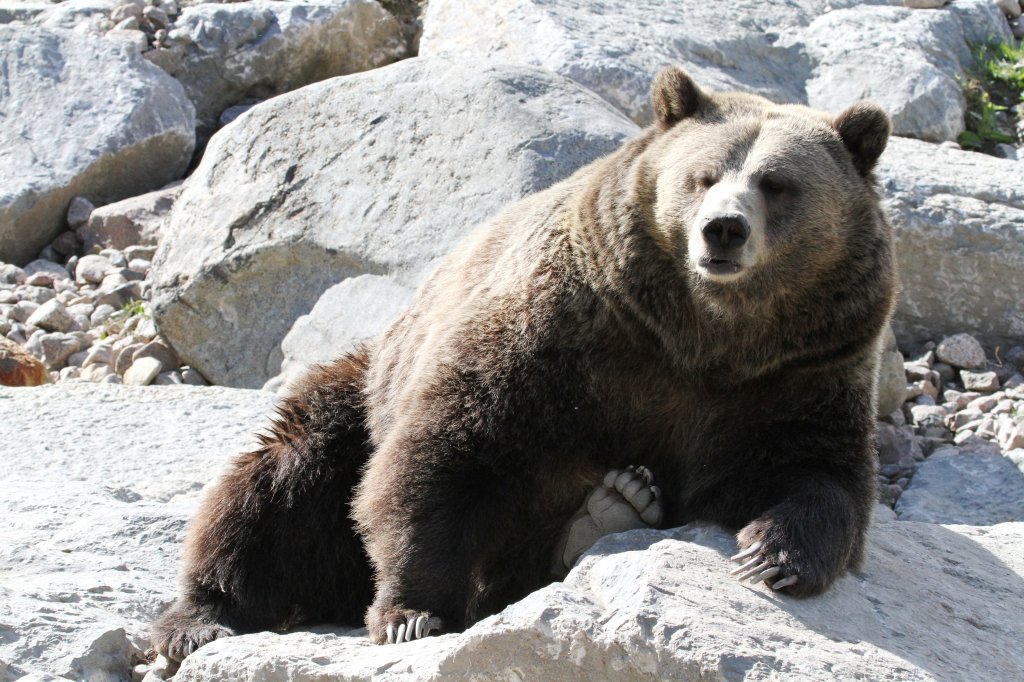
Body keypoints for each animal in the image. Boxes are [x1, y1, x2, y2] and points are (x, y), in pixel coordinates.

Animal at [151, 66, 897, 655]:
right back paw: (201, 617)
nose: (723, 230)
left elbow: (820, 473)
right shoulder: (564, 334)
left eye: (776, 183)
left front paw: (773, 556)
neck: (699, 336)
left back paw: (613, 506)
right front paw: (412, 611)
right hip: (365, 391)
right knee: (280, 481)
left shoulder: (799, 372)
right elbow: (447, 452)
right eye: (702, 175)